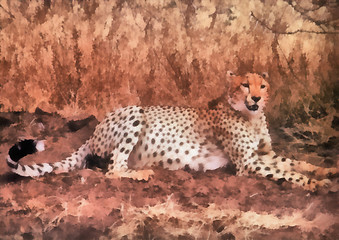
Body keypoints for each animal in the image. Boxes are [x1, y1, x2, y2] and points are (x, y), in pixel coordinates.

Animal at [6, 71, 338, 191]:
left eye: (263, 85)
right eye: (245, 84)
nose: (256, 98)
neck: (252, 117)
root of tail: (94, 129)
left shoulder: (264, 154)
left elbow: (295, 162)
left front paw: (327, 171)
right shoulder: (248, 163)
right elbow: (288, 172)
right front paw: (314, 184)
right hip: (135, 112)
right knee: (113, 169)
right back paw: (141, 173)